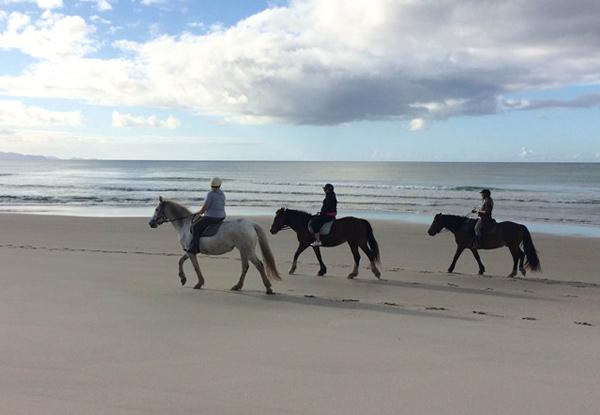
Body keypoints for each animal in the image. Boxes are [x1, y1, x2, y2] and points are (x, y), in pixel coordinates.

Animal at [149, 197, 282, 294]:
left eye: (156, 209)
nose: (151, 223)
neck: (185, 224)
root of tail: (251, 223)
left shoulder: (191, 251)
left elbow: (195, 266)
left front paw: (198, 283)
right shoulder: (189, 250)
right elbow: (181, 261)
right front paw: (183, 279)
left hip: (248, 250)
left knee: (259, 265)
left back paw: (268, 288)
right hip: (243, 250)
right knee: (245, 267)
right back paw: (237, 286)